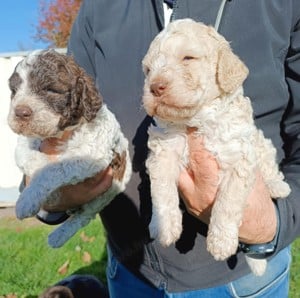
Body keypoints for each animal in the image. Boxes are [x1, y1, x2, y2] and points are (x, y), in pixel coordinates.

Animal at [7, 50, 131, 248]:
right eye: (14, 91)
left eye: (51, 90)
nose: (20, 112)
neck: (61, 133)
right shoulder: (23, 144)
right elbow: (31, 157)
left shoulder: (93, 154)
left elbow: (54, 168)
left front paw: (27, 199)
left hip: (104, 195)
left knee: (84, 217)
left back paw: (57, 237)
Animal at [142, 19, 290, 278]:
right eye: (148, 70)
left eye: (188, 58)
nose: (155, 87)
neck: (197, 119)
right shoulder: (164, 151)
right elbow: (161, 191)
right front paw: (164, 225)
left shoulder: (239, 156)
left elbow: (228, 202)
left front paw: (221, 242)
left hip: (261, 144)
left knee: (269, 166)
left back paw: (278, 186)